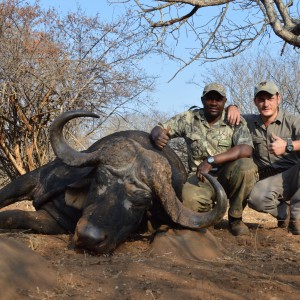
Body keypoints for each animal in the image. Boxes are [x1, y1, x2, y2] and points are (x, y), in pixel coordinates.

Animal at [0, 110, 227, 253]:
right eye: (99, 181)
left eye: (141, 202)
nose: (89, 237)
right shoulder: (34, 178)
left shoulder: (55, 222)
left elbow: (14, 217)